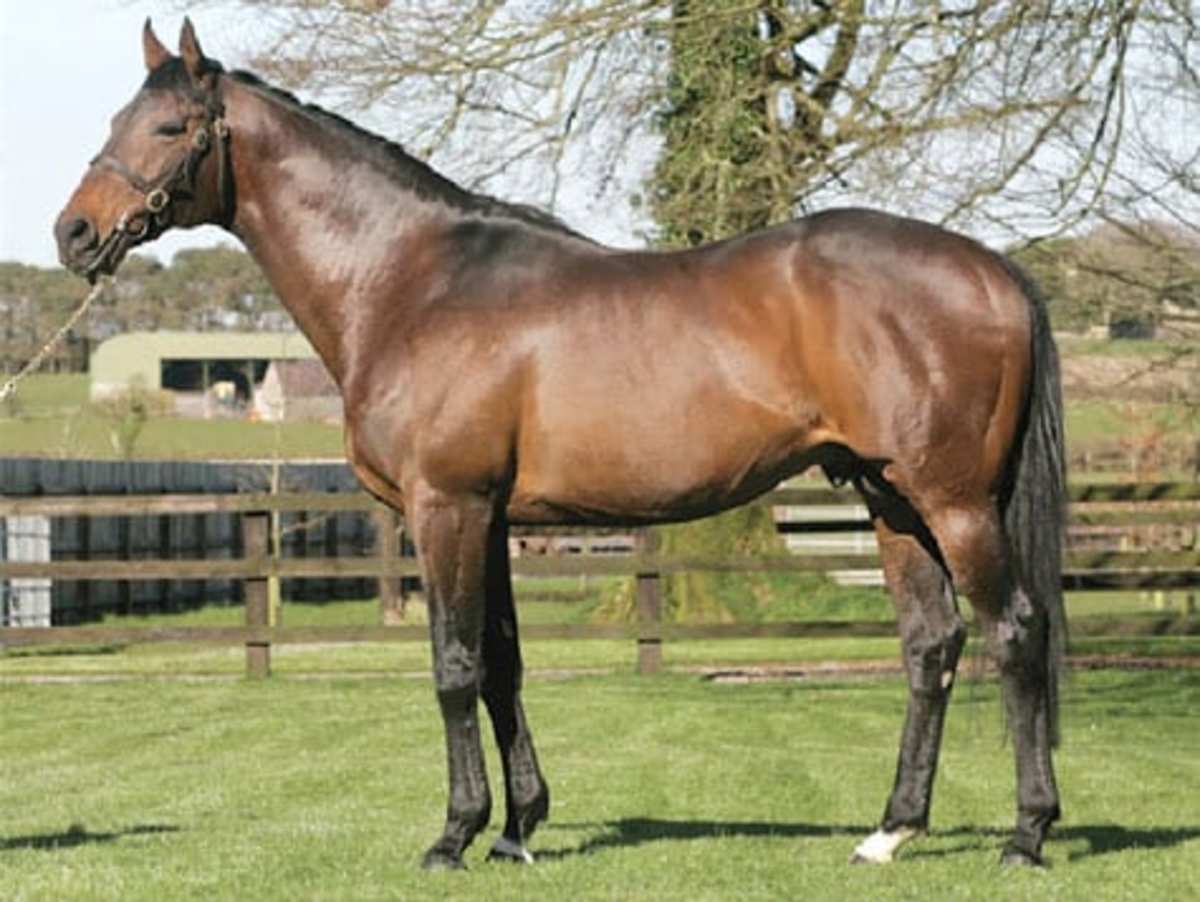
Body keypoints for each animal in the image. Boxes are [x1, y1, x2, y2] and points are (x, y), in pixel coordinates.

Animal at [55, 19, 1066, 871]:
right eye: (113, 119)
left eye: (170, 125)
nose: (74, 233)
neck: (410, 281)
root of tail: (992, 269)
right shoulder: (495, 518)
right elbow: (502, 664)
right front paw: (516, 830)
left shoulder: (446, 508)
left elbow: (453, 666)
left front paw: (453, 836)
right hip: (890, 499)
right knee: (931, 645)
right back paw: (890, 834)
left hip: (954, 502)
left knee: (1015, 631)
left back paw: (1027, 836)